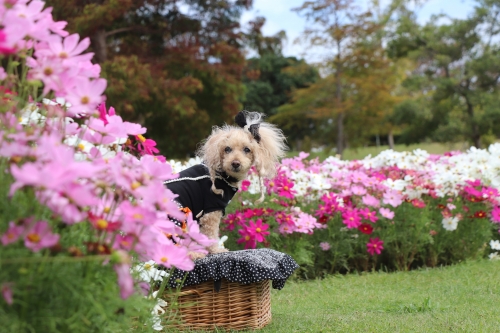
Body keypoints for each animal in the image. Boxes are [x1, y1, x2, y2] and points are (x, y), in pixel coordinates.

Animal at [165, 110, 286, 258]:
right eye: (227, 149)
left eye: (247, 149)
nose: (235, 163)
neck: (222, 176)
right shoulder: (211, 211)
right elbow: (210, 236)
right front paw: (216, 250)